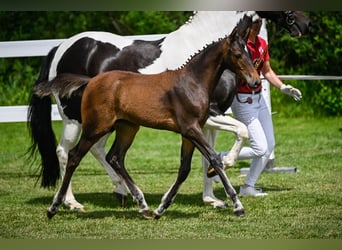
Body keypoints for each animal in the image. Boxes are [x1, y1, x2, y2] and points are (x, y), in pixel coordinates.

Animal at [28, 11, 312, 211]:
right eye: (238, 54)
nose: (306, 23)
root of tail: (60, 47)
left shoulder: (205, 121)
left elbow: (207, 156)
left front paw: (212, 198)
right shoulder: (211, 115)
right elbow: (239, 132)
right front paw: (226, 171)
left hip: (109, 122)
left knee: (99, 151)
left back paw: (123, 192)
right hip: (75, 119)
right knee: (66, 152)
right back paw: (70, 202)